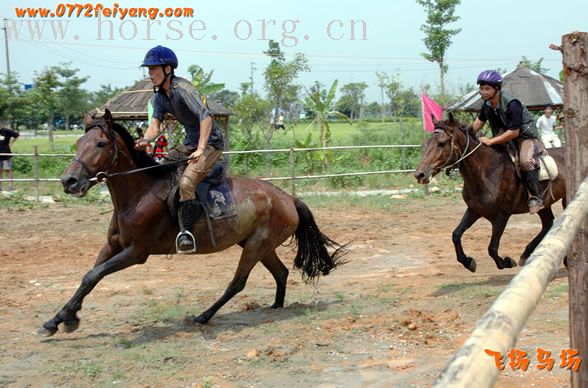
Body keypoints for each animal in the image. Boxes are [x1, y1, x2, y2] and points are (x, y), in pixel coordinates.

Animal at [38, 110, 350, 336]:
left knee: (237, 283)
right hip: (259, 245)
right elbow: (88, 277)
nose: (69, 181)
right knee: (281, 273)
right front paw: (59, 319)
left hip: (256, 246)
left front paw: (64, 320)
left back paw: (203, 316)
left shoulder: (136, 253)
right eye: (79, 143)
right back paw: (276, 306)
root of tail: (288, 198)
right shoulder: (113, 246)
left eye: (100, 144)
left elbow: (93, 276)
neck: (138, 193)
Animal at [412, 114, 568, 272]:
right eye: (428, 143)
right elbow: (456, 235)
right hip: (544, 204)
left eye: (442, 143)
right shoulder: (474, 210)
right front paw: (468, 262)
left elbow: (492, 248)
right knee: (548, 224)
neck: (486, 172)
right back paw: (526, 254)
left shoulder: (501, 216)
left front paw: (506, 262)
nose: (420, 174)